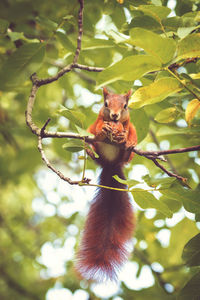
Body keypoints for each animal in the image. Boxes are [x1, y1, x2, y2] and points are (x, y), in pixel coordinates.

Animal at [76, 86, 137, 282]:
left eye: (125, 106)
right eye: (105, 104)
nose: (115, 115)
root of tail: (110, 164)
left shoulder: (129, 124)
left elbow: (128, 129)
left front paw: (123, 135)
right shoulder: (96, 121)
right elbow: (97, 128)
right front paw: (104, 128)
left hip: (126, 152)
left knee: (127, 152)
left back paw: (128, 146)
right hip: (92, 142)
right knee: (91, 144)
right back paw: (89, 150)